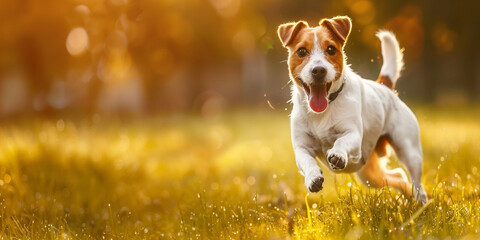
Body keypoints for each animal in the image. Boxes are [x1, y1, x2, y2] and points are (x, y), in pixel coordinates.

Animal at [278, 15, 428, 203]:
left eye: (331, 49)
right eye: (302, 52)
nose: (319, 70)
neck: (323, 110)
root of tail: (384, 86)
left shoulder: (354, 135)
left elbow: (341, 141)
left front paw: (337, 154)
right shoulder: (301, 147)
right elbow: (307, 161)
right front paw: (313, 177)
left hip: (408, 151)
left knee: (417, 183)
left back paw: (421, 203)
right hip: (369, 174)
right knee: (399, 177)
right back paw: (409, 201)